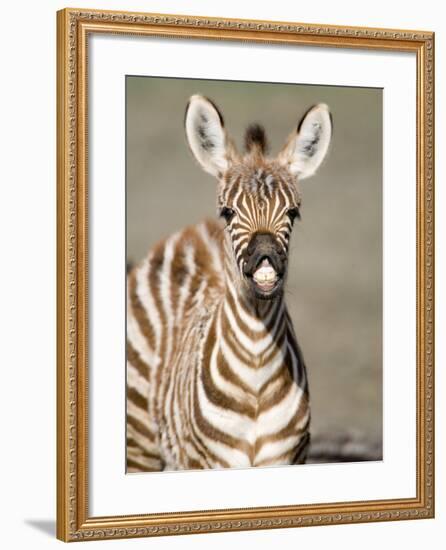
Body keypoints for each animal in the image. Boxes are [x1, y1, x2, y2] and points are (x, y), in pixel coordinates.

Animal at [125, 95, 332, 474]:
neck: (256, 370)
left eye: (293, 213)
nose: (265, 259)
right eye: (228, 212)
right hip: (140, 444)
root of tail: (192, 231)